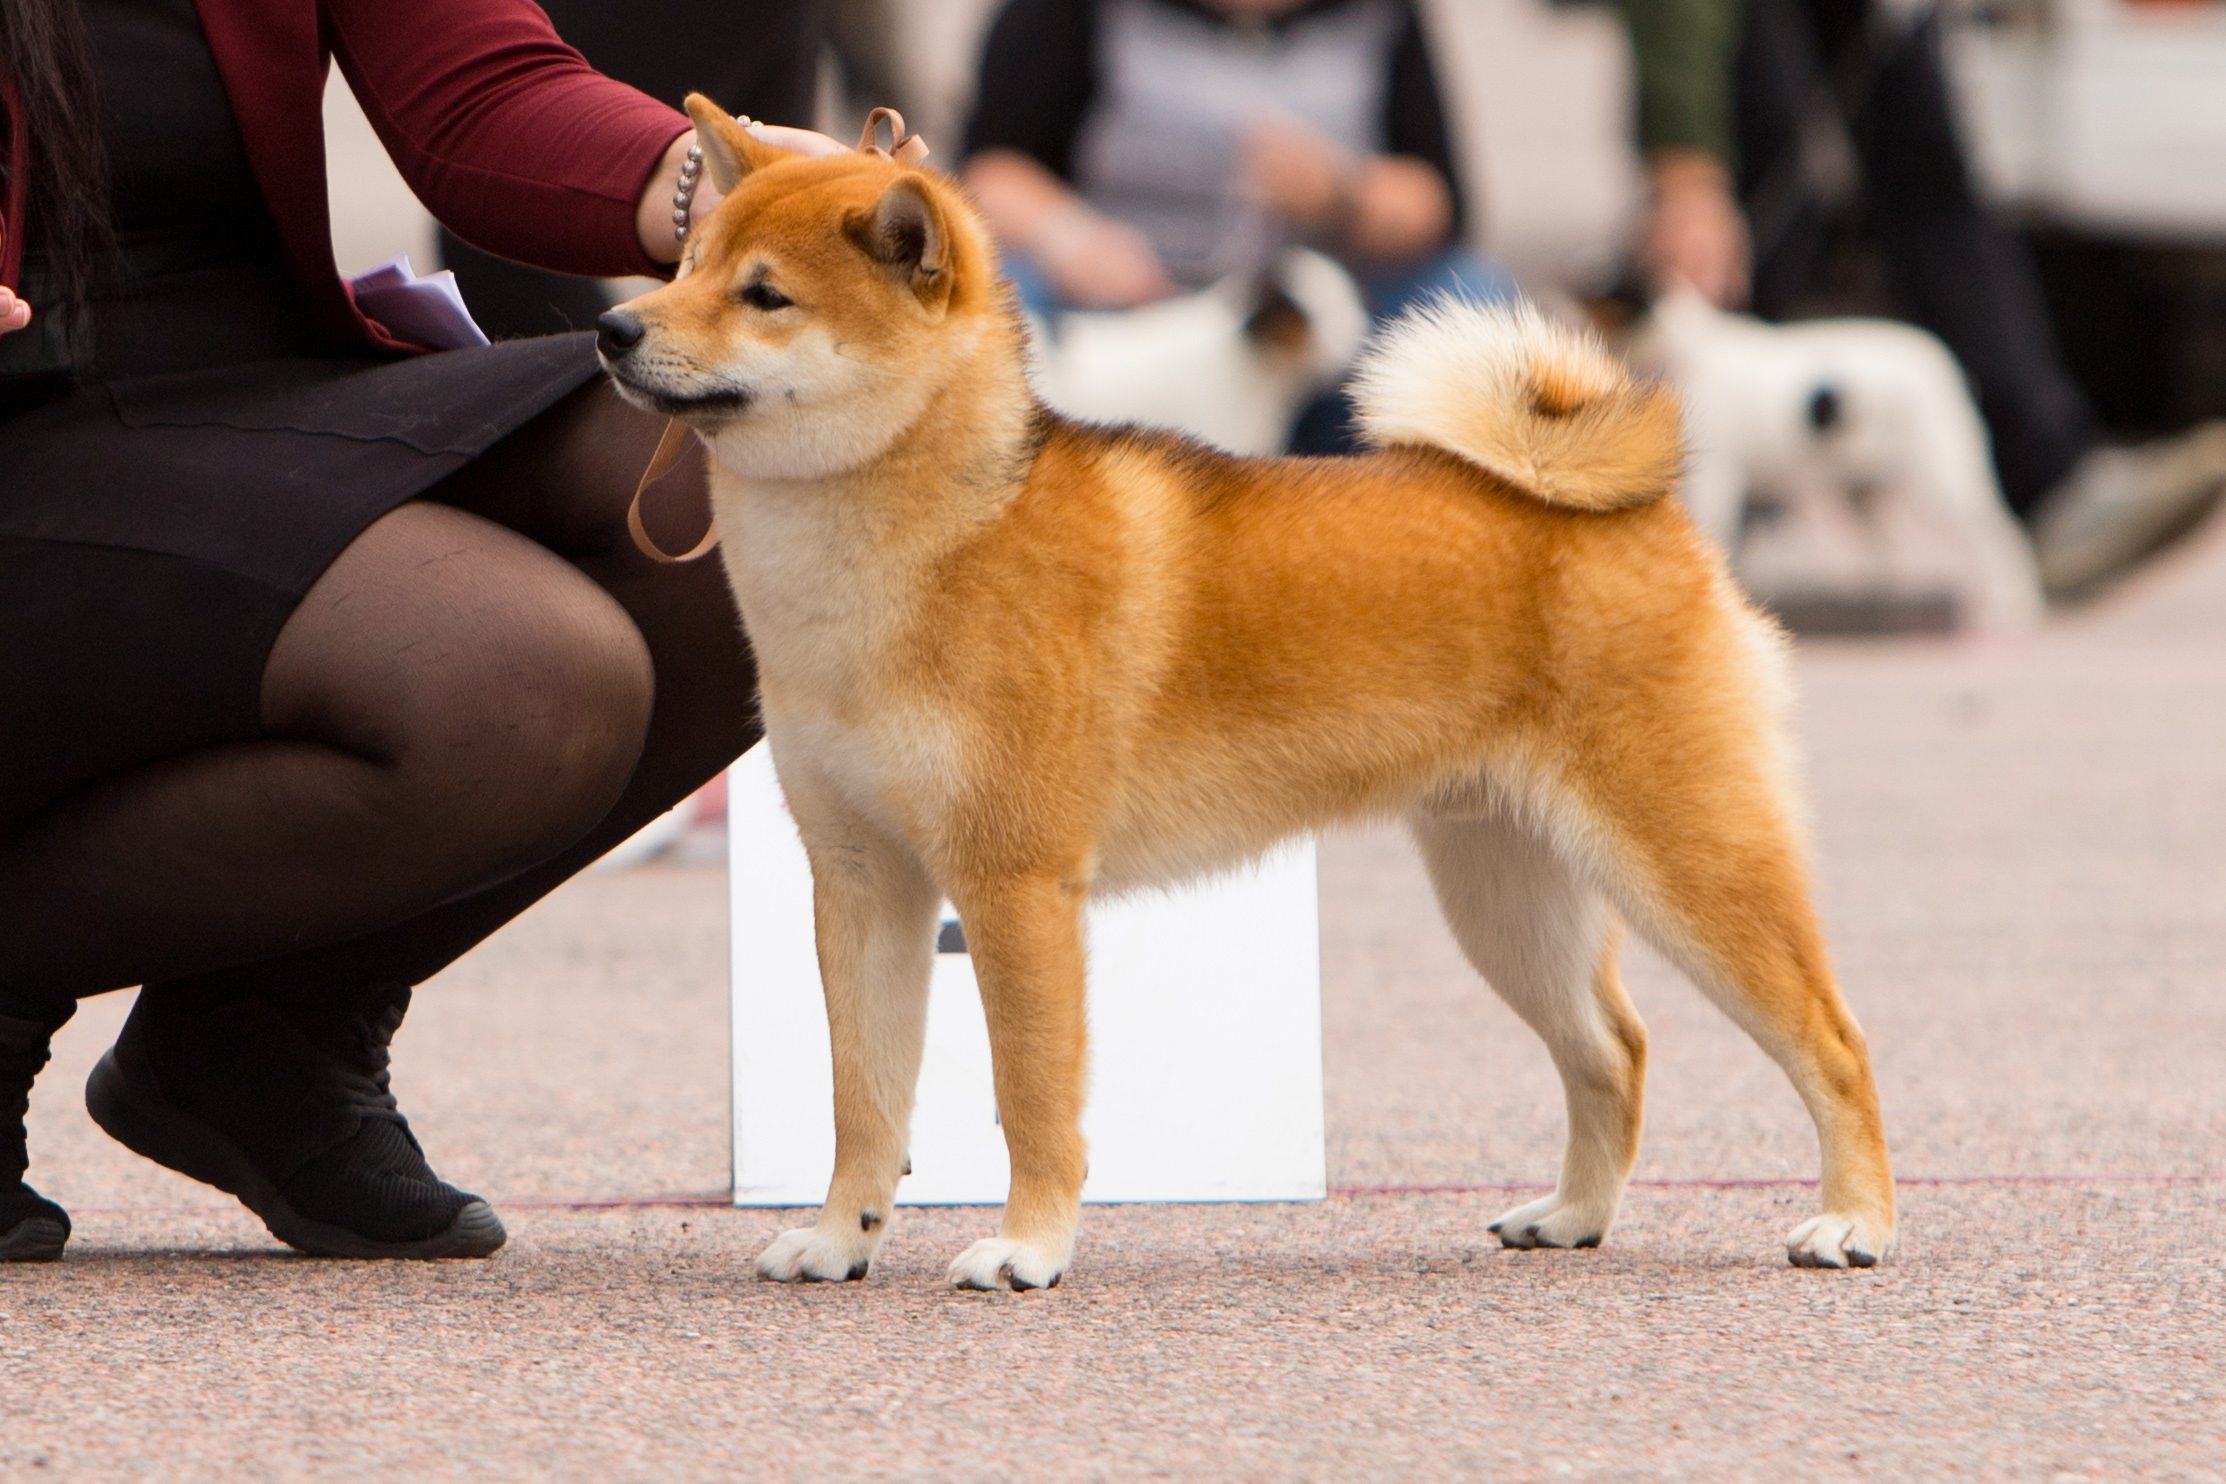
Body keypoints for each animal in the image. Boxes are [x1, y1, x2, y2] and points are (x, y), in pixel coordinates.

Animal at [1647, 289, 2039, 631]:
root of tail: (1950, 371)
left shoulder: (1717, 481)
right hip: (1864, 493)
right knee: (1885, 550)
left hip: (1942, 483)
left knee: (2000, 538)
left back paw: (2011, 607)